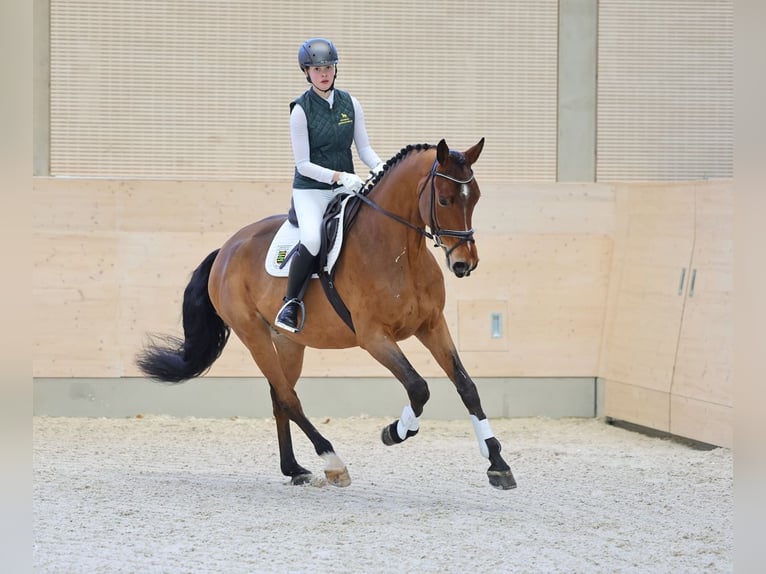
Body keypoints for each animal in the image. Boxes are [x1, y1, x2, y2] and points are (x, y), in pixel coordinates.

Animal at [136, 138, 517, 490]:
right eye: (444, 200)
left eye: (475, 197)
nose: (464, 263)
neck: (400, 253)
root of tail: (227, 249)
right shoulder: (374, 337)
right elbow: (418, 387)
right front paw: (395, 432)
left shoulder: (432, 325)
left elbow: (466, 387)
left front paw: (498, 464)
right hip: (253, 335)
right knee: (288, 398)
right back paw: (332, 461)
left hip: (288, 342)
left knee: (279, 396)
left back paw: (294, 469)